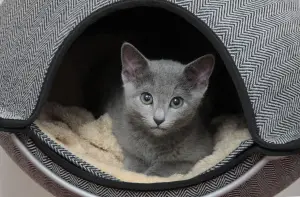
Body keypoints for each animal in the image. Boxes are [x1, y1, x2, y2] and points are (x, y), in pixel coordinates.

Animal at [106, 42, 214, 177]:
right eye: (146, 98)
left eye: (176, 102)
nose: (158, 119)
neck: (154, 142)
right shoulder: (124, 138)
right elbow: (134, 158)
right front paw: (137, 172)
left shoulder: (201, 150)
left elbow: (169, 165)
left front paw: (150, 174)